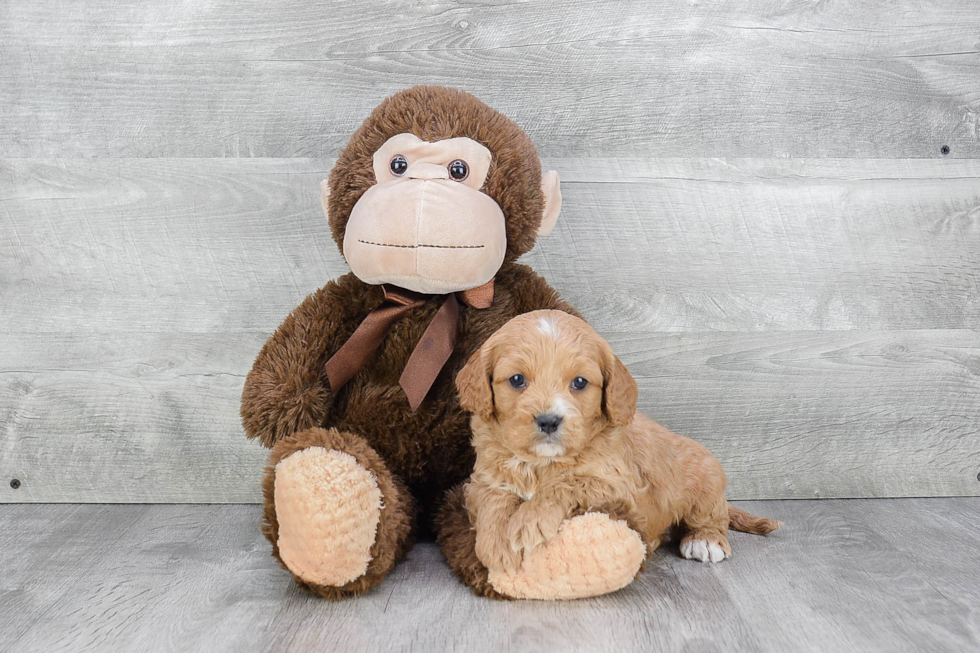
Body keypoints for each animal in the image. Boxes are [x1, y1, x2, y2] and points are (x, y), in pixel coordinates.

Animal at [456, 308, 776, 572]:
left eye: (580, 382)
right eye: (517, 380)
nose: (548, 420)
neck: (541, 463)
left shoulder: (621, 488)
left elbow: (568, 483)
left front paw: (528, 521)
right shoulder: (481, 479)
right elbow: (493, 498)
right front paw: (496, 543)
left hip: (706, 478)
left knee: (712, 517)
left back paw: (705, 541)